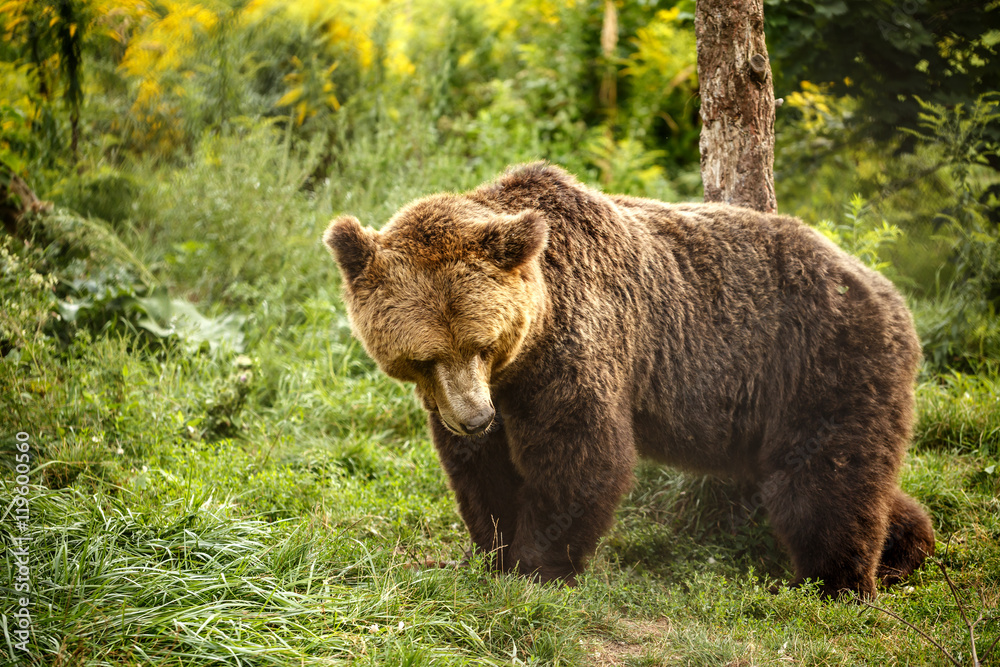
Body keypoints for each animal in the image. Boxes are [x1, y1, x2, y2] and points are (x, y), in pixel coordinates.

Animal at [326, 163, 936, 600]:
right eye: (424, 356)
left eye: (482, 342)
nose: (475, 418)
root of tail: (890, 293)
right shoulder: (479, 395)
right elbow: (482, 473)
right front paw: (491, 551)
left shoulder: (576, 350)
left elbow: (582, 456)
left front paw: (536, 566)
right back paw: (906, 543)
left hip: (823, 366)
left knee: (825, 483)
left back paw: (840, 582)